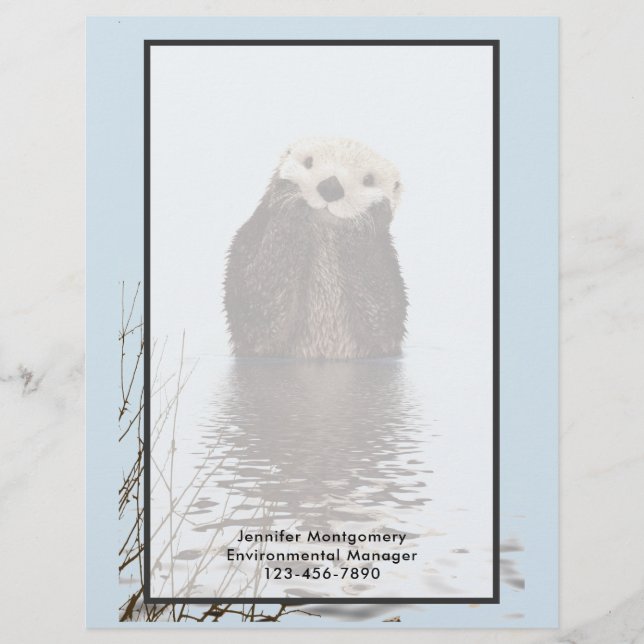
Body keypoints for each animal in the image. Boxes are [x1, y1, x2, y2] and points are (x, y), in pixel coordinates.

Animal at [223, 137, 407, 359]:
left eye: (369, 179)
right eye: (309, 162)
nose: (331, 186)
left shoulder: (389, 271)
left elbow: (383, 316)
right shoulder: (247, 243)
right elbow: (256, 309)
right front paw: (292, 203)